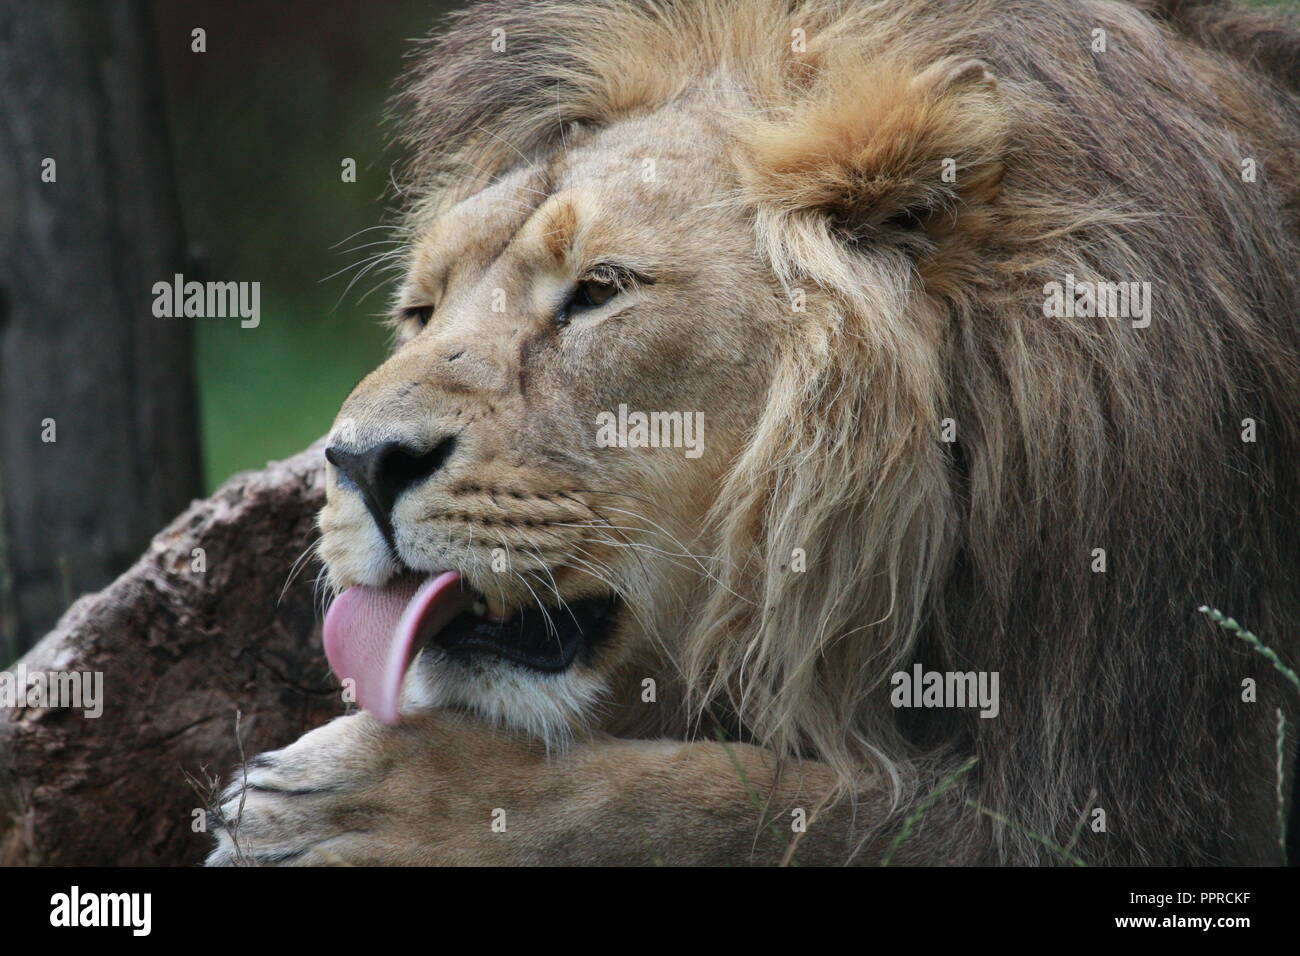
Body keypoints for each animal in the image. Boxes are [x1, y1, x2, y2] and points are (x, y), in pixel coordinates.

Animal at [202, 0, 1300, 868]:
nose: (359, 462)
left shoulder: (1117, 802)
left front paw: (352, 807)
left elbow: (754, 802)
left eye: (596, 292)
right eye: (421, 311)